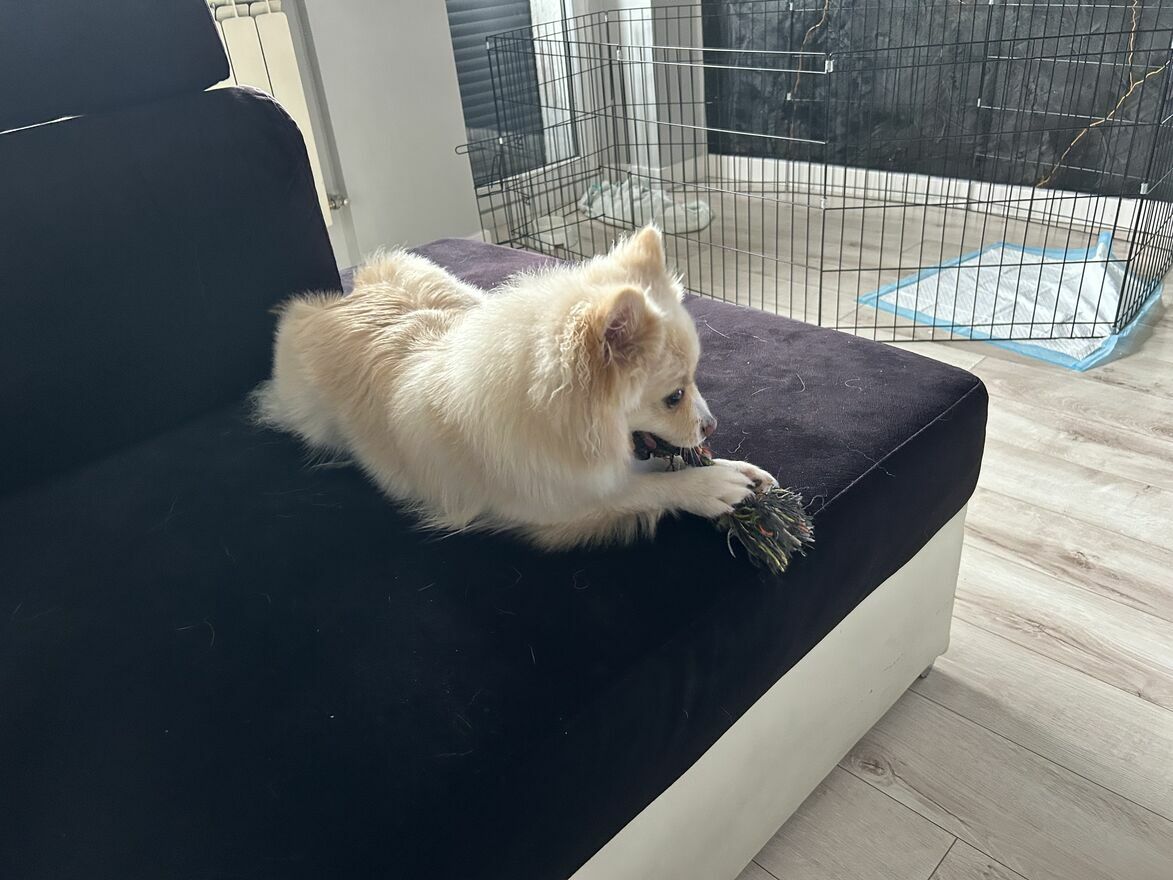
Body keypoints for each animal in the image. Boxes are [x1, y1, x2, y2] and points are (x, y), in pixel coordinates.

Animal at [254, 225, 777, 548]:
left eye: (695, 382)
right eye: (674, 397)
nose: (711, 426)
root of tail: (337, 301)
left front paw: (732, 468)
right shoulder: (547, 505)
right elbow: (640, 488)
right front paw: (709, 484)